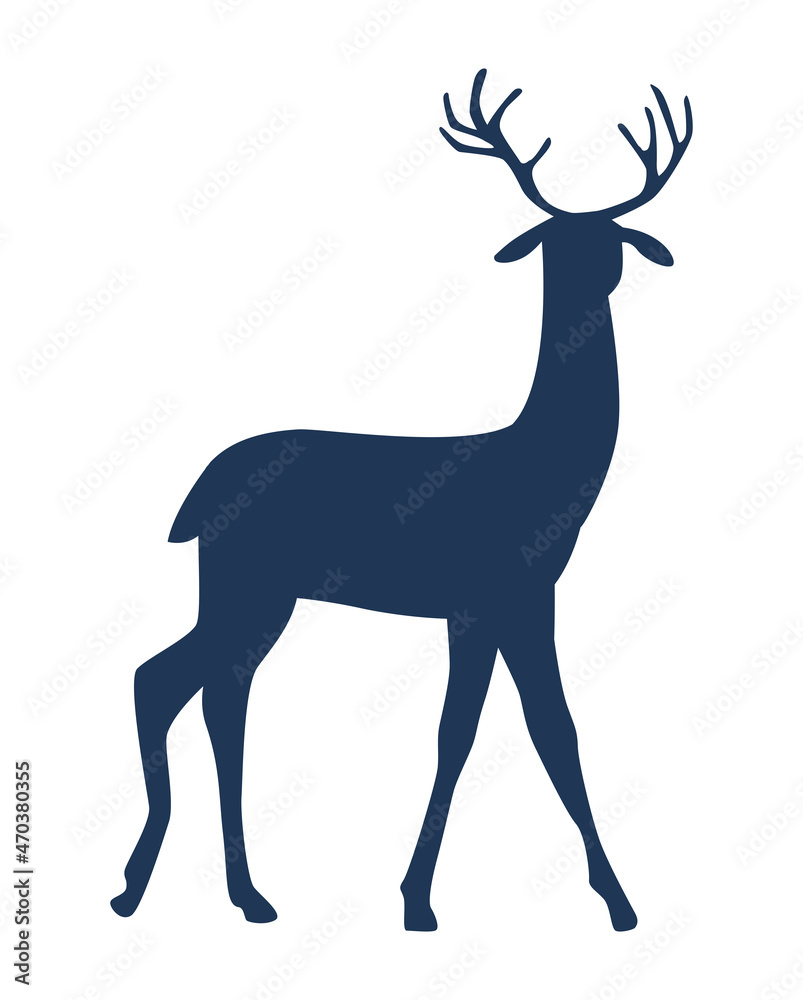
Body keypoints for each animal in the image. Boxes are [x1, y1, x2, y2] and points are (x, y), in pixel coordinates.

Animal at [110, 69, 692, 932]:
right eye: (556, 243)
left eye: (612, 240)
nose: (596, 279)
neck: (548, 472)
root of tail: (195, 494)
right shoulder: (504, 593)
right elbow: (511, 731)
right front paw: (602, 900)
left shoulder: (499, 603)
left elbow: (516, 728)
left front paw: (429, 894)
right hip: (250, 581)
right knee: (183, 684)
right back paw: (176, 888)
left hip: (247, 589)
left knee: (195, 686)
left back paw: (198, 891)